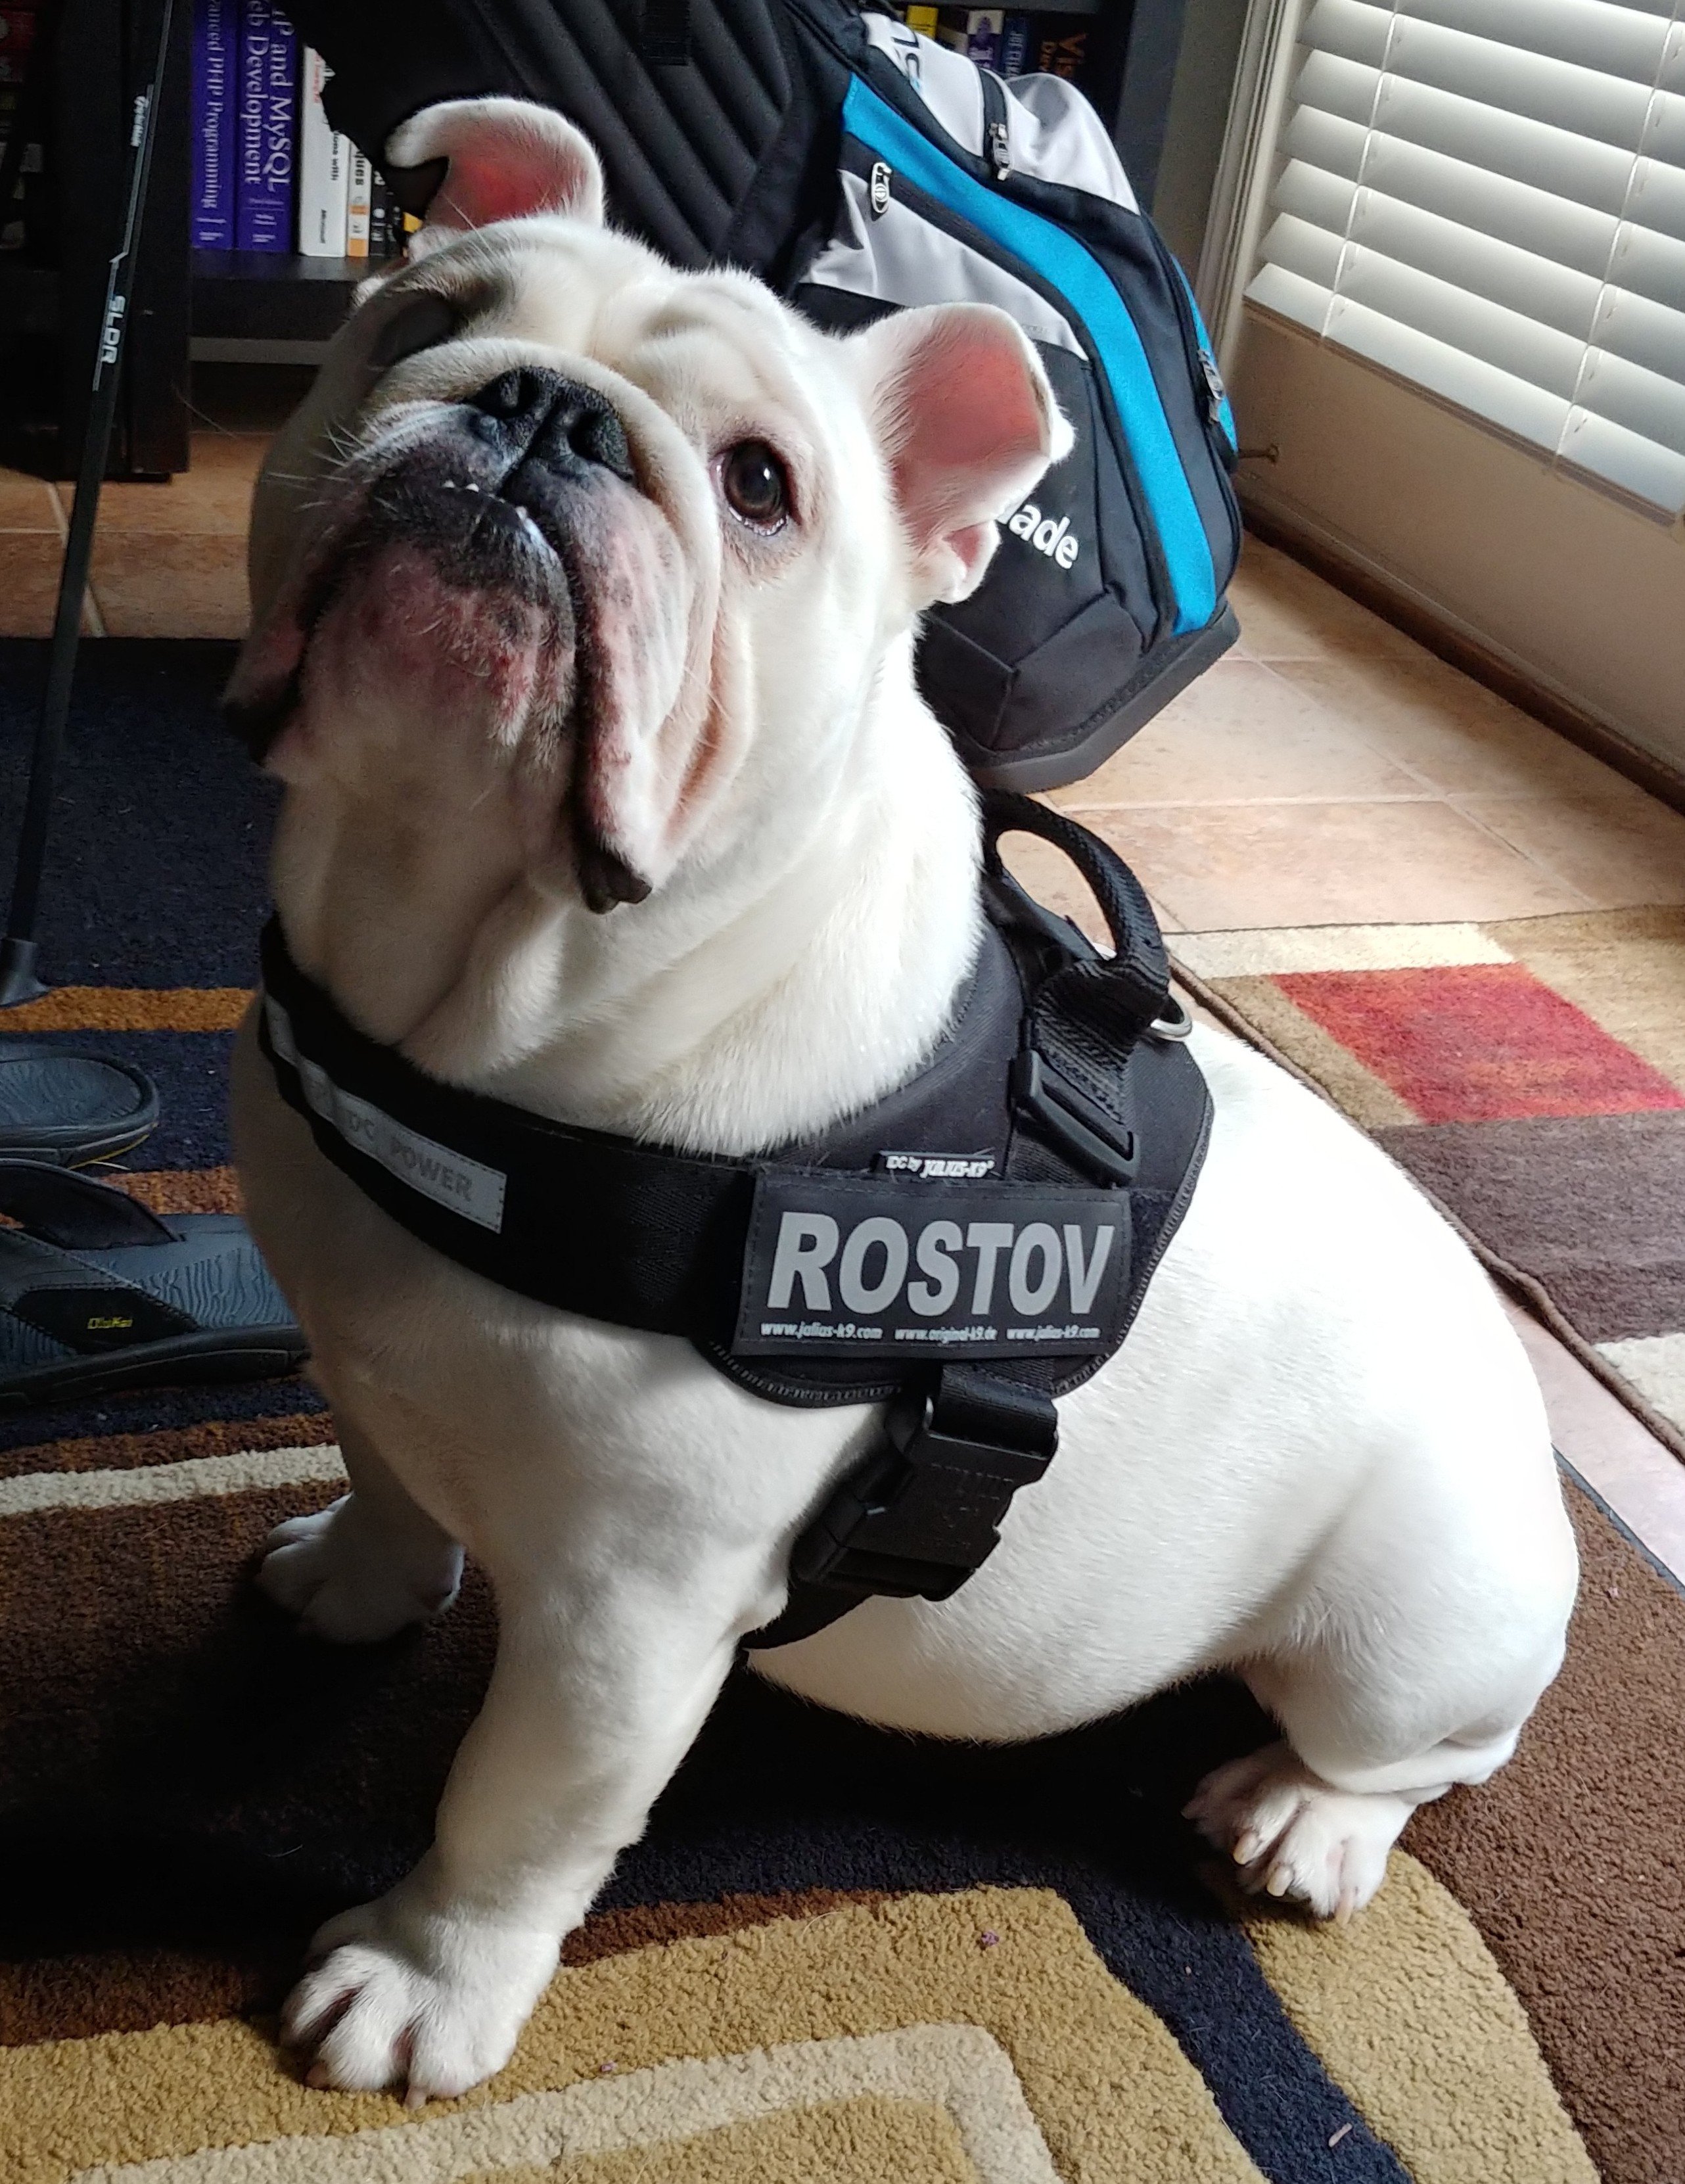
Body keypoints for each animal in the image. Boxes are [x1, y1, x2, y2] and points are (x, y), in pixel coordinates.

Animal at [228, 97, 1579, 2104]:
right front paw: (356, 1576)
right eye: (425, 322)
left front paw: (422, 1978)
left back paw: (1302, 1815)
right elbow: (390, 1475)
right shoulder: (366, 1349)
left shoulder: (625, 1618)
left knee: (1420, 1746)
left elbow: (516, 1807)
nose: (544, 411)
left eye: (760, 488)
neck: (475, 969)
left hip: (1408, 1634)